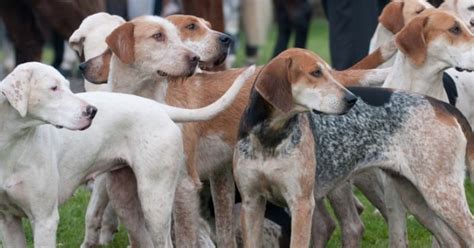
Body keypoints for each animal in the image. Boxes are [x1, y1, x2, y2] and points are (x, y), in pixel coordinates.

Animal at [0, 62, 256, 248]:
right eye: (53, 88)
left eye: (67, 85)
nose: (92, 111)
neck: (11, 147)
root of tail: (159, 107)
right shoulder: (8, 221)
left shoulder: (45, 220)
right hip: (124, 200)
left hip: (155, 200)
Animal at [233, 49, 474, 247]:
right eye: (315, 73)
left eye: (330, 72)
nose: (352, 99)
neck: (269, 138)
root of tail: (441, 105)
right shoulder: (251, 203)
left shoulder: (301, 205)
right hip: (416, 199)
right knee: (452, 240)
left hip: (441, 194)